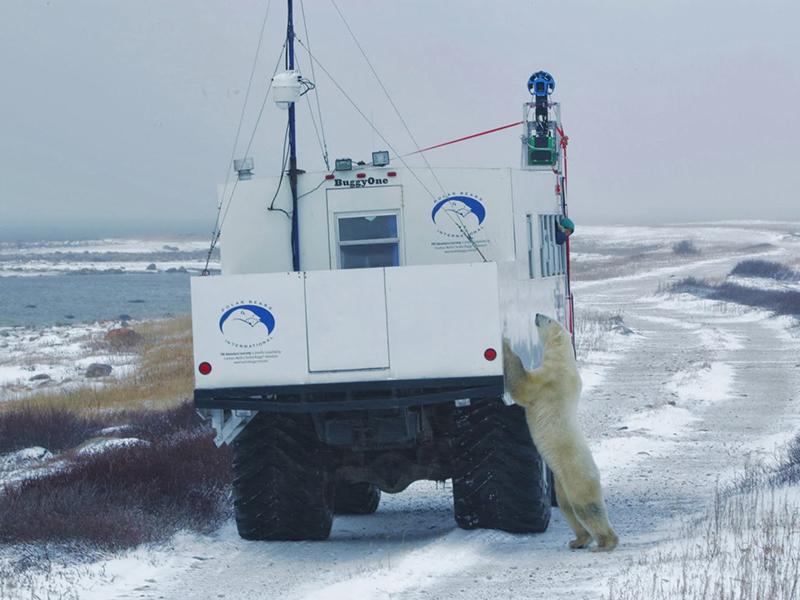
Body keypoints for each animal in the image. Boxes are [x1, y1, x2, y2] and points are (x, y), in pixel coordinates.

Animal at [500, 314, 620, 552]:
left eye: (548, 319)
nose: (537, 314)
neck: (564, 360)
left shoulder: (548, 380)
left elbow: (523, 386)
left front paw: (506, 343)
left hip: (577, 475)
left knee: (587, 507)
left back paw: (604, 543)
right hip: (562, 484)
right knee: (568, 509)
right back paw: (578, 540)